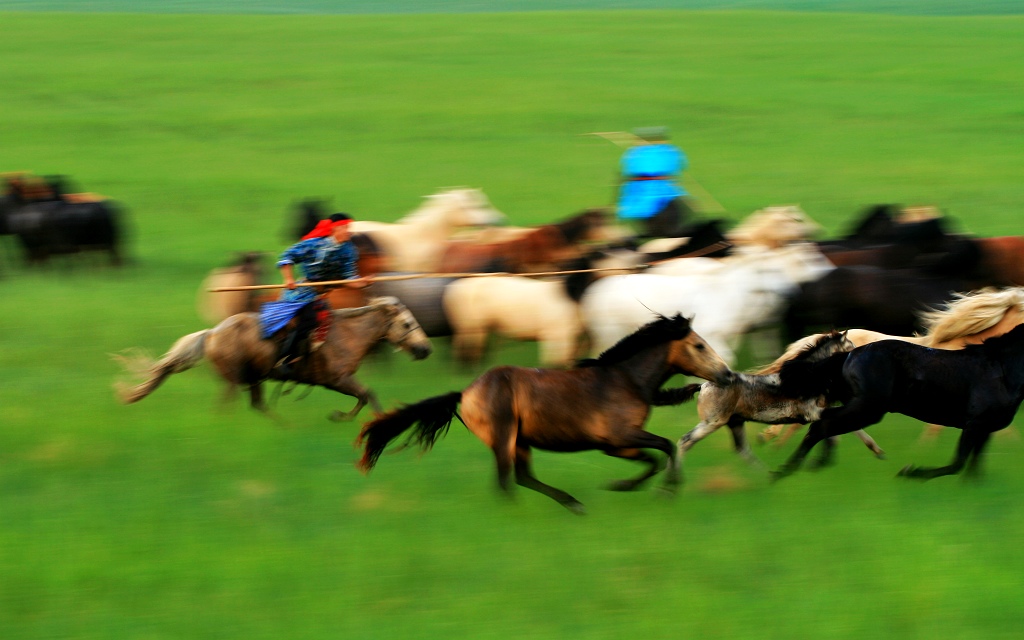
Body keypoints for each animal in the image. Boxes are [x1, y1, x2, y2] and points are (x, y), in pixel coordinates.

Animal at [116, 294, 432, 423]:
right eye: (407, 324)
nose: (425, 349)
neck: (347, 334)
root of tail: (211, 333)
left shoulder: (340, 380)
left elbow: (366, 396)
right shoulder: (338, 379)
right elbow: (367, 395)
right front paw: (345, 417)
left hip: (253, 378)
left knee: (256, 404)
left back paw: (283, 425)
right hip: (234, 378)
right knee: (227, 405)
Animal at [356, 315, 733, 514]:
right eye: (699, 345)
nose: (728, 375)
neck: (627, 381)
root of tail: (466, 392)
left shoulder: (618, 446)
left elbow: (653, 457)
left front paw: (626, 485)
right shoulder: (618, 437)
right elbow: (665, 447)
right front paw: (664, 489)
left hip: (521, 440)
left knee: (522, 477)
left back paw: (571, 504)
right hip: (504, 436)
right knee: (506, 479)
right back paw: (526, 510)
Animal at [770, 321, 1024, 481]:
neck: (1002, 368)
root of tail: (847, 355)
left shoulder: (985, 429)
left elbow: (974, 467)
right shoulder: (973, 424)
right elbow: (958, 463)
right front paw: (911, 472)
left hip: (858, 406)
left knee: (821, 423)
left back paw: (802, 466)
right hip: (868, 408)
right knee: (822, 426)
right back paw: (784, 472)